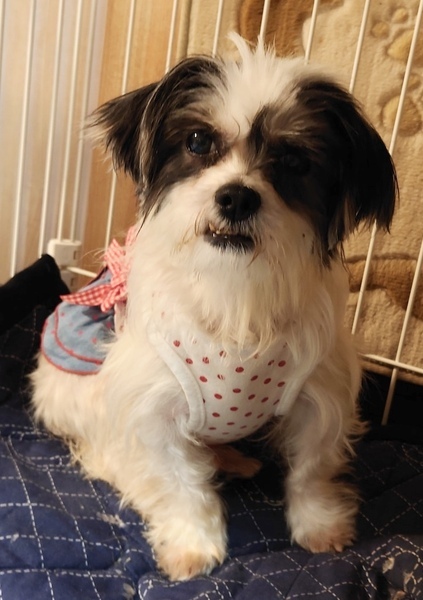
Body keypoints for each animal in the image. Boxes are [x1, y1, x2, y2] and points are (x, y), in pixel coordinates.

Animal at [31, 36, 397, 581]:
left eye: (295, 161)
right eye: (199, 142)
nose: (237, 197)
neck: (235, 288)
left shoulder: (319, 394)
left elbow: (311, 470)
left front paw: (319, 526)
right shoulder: (153, 405)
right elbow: (180, 482)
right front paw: (193, 543)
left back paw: (233, 458)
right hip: (85, 396)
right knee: (112, 454)